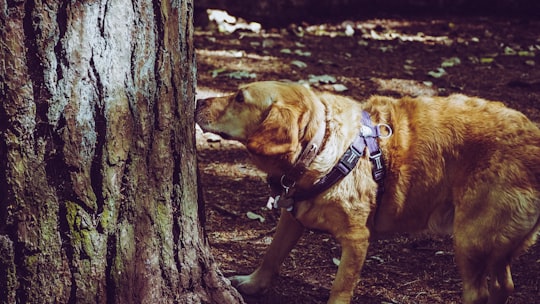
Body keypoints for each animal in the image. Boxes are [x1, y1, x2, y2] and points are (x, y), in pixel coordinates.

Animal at [197, 81, 540, 304]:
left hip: (470, 239)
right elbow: (271, 255)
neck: (320, 143)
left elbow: (339, 288)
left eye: (239, 98)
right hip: (495, 243)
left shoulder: (357, 240)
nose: (198, 101)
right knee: (504, 286)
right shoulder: (291, 218)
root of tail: (534, 137)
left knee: (479, 292)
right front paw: (253, 284)